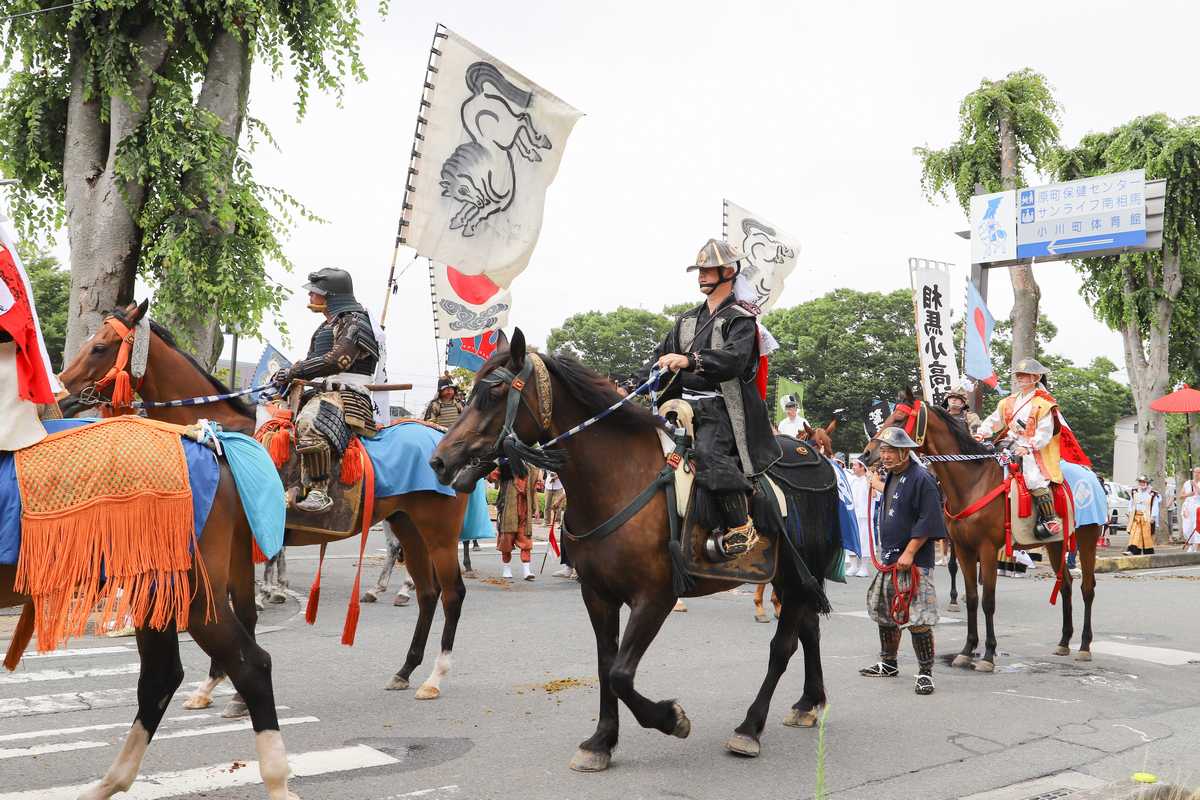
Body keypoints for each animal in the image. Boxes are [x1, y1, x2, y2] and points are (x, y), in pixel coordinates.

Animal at [59, 303, 472, 705]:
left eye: (100, 346)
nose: (63, 392)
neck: (216, 438)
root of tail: (440, 439)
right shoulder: (239, 547)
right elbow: (240, 612)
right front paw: (217, 687)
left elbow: (233, 610)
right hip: (408, 523)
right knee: (427, 594)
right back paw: (405, 669)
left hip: (439, 532)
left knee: (452, 594)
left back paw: (434, 676)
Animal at [432, 331, 844, 767]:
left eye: (493, 393)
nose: (439, 460)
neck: (617, 480)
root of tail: (817, 460)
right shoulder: (598, 595)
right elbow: (605, 666)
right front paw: (600, 741)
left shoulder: (655, 597)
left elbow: (620, 674)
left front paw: (671, 718)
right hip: (790, 575)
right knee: (809, 628)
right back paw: (808, 703)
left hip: (799, 575)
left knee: (783, 646)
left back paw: (749, 728)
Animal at [859, 393, 1099, 671]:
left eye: (898, 418)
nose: (867, 454)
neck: (973, 482)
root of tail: (1091, 475)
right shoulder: (963, 548)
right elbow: (973, 598)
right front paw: (966, 650)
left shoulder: (987, 549)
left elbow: (988, 601)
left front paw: (988, 654)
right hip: (1055, 543)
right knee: (1066, 585)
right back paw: (1064, 641)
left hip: (1087, 537)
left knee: (1087, 588)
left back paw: (1084, 646)